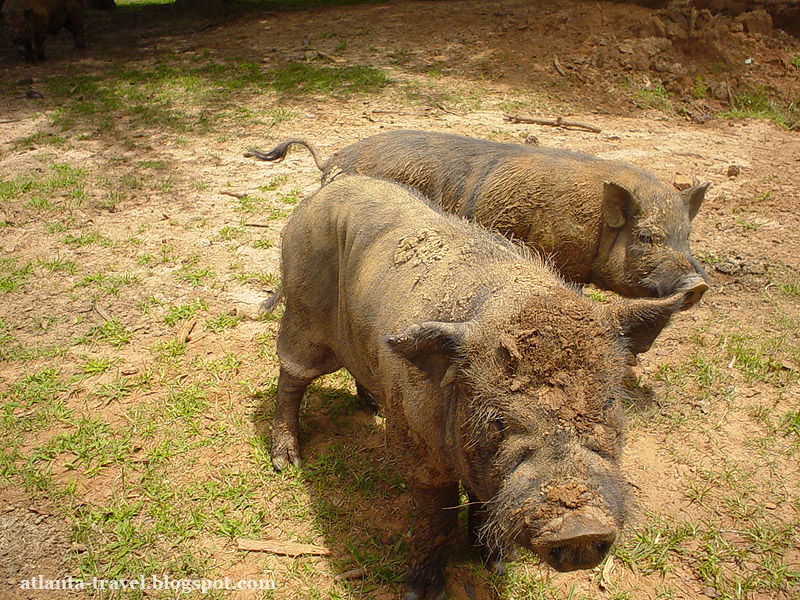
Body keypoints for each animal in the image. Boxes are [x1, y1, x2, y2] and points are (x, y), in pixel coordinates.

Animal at [266, 176, 692, 596]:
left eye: (605, 407)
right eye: (499, 422)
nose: (580, 529)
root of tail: (317, 196)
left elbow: (484, 502)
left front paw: (495, 563)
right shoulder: (417, 443)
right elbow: (436, 515)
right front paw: (423, 591)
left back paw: (371, 406)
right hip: (303, 313)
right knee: (290, 376)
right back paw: (287, 462)